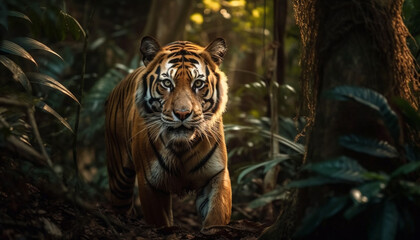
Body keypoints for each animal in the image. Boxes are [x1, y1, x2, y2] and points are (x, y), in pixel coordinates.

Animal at [104, 36, 231, 228]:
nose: (182, 113)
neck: (182, 146)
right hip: (119, 177)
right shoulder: (150, 183)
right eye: (167, 83)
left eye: (198, 83)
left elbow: (217, 213)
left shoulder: (217, 174)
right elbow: (160, 222)